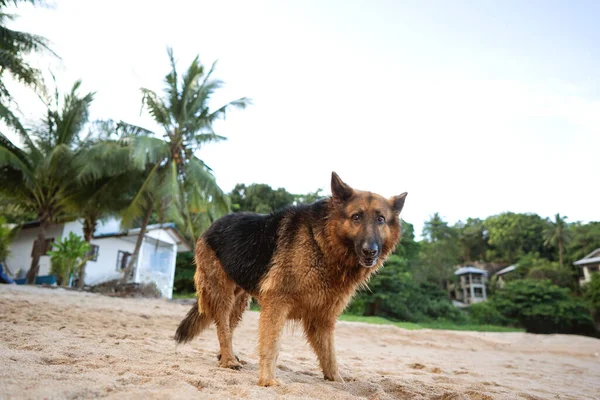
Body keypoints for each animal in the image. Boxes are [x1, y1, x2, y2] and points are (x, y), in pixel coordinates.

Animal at [175, 173, 408, 388]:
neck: (322, 242)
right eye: (356, 217)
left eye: (380, 219)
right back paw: (229, 360)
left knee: (227, 327)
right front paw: (267, 380)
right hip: (222, 295)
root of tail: (212, 224)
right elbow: (271, 345)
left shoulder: (322, 318)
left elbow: (330, 356)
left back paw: (226, 356)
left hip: (240, 300)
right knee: (222, 327)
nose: (370, 251)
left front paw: (337, 381)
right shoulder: (277, 303)